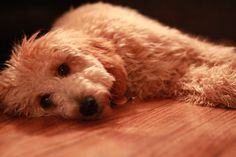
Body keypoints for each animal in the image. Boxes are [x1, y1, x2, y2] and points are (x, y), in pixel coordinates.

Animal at [0, 2, 236, 119]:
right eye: (45, 101)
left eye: (63, 68)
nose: (87, 106)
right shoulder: (174, 79)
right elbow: (210, 83)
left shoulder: (186, 48)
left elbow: (219, 55)